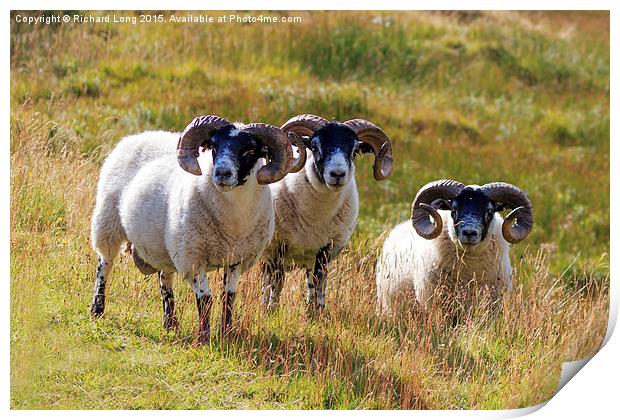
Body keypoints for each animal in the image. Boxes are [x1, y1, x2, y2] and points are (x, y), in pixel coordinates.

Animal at [88, 115, 300, 344]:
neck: (234, 223)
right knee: (104, 266)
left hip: (165, 246)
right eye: (213, 146)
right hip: (108, 223)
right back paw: (97, 310)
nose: (222, 173)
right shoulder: (193, 258)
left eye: (250, 151)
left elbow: (228, 297)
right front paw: (204, 339)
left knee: (164, 279)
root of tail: (137, 136)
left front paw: (226, 334)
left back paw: (170, 323)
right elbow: (205, 298)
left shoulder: (236, 259)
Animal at [260, 113, 392, 314]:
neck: (315, 216)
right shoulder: (278, 246)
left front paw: (317, 313)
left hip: (308, 257)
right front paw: (271, 312)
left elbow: (320, 282)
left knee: (310, 283)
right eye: (314, 146)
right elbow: (277, 283)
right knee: (267, 282)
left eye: (355, 150)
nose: (337, 174)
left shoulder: (325, 248)